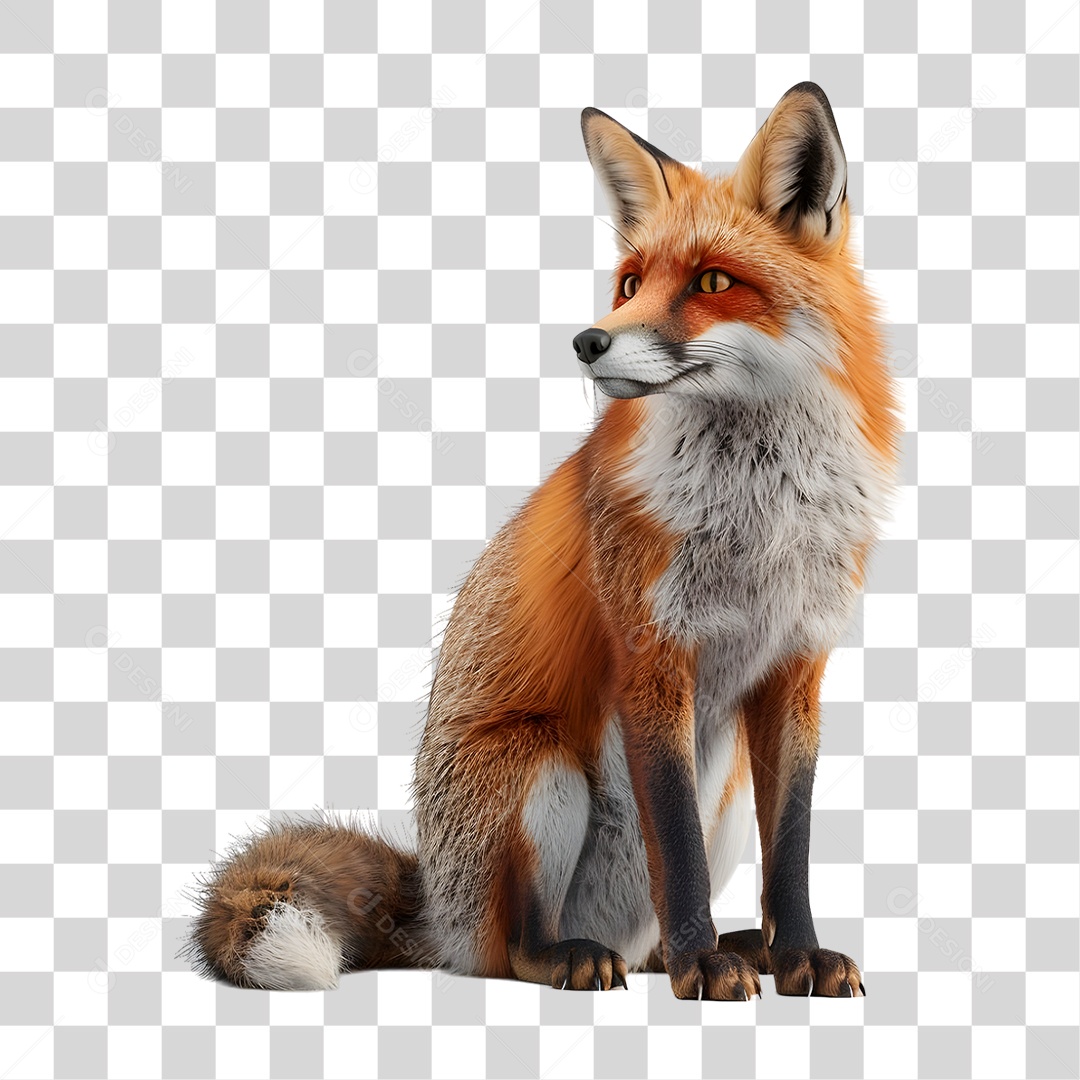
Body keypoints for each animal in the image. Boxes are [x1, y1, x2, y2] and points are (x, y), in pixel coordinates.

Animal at [186, 82, 900, 1000]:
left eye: (711, 281)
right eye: (628, 284)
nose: (588, 340)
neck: (759, 513)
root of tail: (433, 905)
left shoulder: (796, 667)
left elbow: (795, 852)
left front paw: (797, 956)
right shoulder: (651, 656)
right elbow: (677, 851)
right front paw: (704, 967)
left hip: (729, 792)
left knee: (647, 933)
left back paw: (725, 948)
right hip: (538, 767)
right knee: (511, 951)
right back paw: (591, 956)